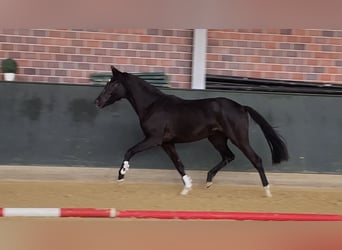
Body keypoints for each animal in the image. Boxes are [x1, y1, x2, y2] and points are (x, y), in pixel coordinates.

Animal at [94, 66, 288, 197]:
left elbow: (129, 151)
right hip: (217, 138)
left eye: (113, 84)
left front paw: (121, 176)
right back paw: (208, 181)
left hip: (238, 138)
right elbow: (179, 164)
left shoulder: (154, 139)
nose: (97, 102)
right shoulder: (167, 143)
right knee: (228, 156)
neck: (153, 106)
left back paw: (267, 191)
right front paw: (187, 187)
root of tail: (241, 107)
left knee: (256, 159)